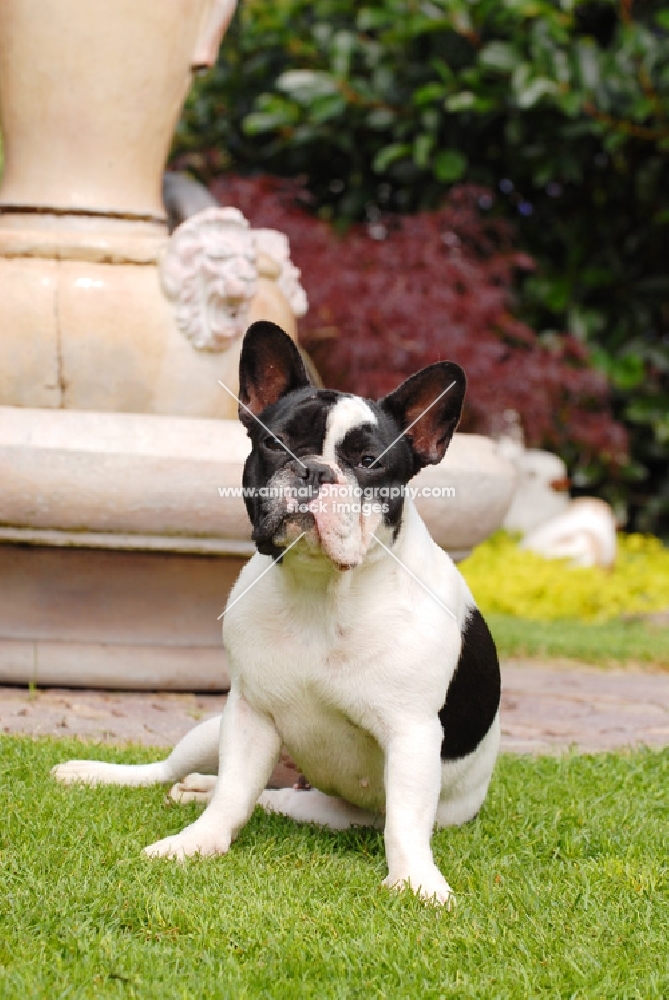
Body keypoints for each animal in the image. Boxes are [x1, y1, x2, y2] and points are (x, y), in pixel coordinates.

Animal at [54, 320, 498, 908]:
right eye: (274, 442)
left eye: (369, 462)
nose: (313, 470)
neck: (321, 590)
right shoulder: (249, 713)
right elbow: (233, 793)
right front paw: (196, 844)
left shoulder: (412, 734)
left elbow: (404, 820)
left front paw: (417, 881)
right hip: (211, 729)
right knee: (176, 770)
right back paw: (111, 776)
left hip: (334, 811)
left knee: (280, 800)